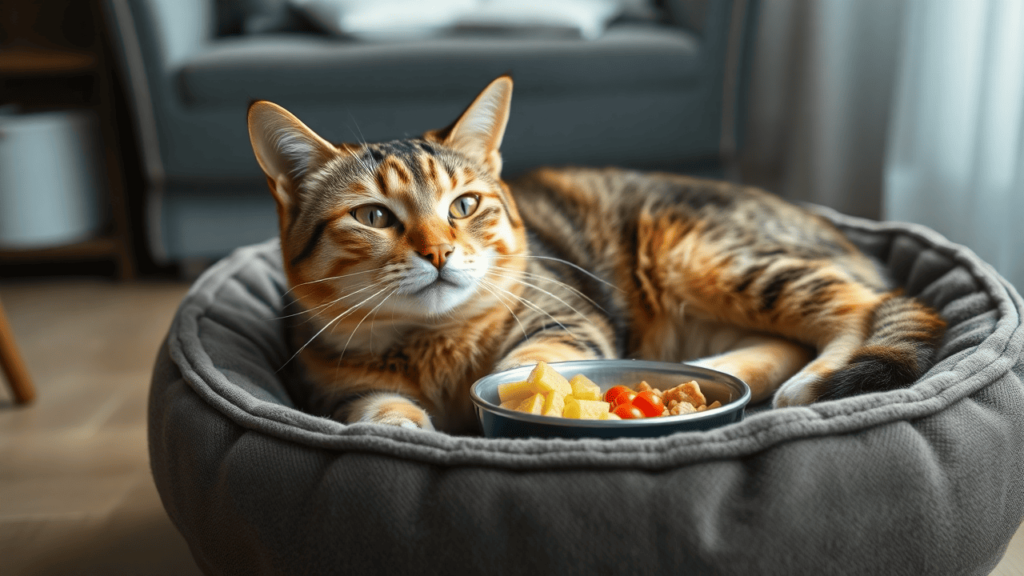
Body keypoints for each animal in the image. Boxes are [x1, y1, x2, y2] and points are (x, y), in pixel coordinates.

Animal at [245, 73, 942, 430]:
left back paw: (807, 384)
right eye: (373, 216)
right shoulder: (332, 387)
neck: (432, 342)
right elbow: (377, 410)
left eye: (463, 206)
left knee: (860, 307)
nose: (440, 252)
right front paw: (405, 430)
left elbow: (535, 364)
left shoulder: (568, 318)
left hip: (707, 254)